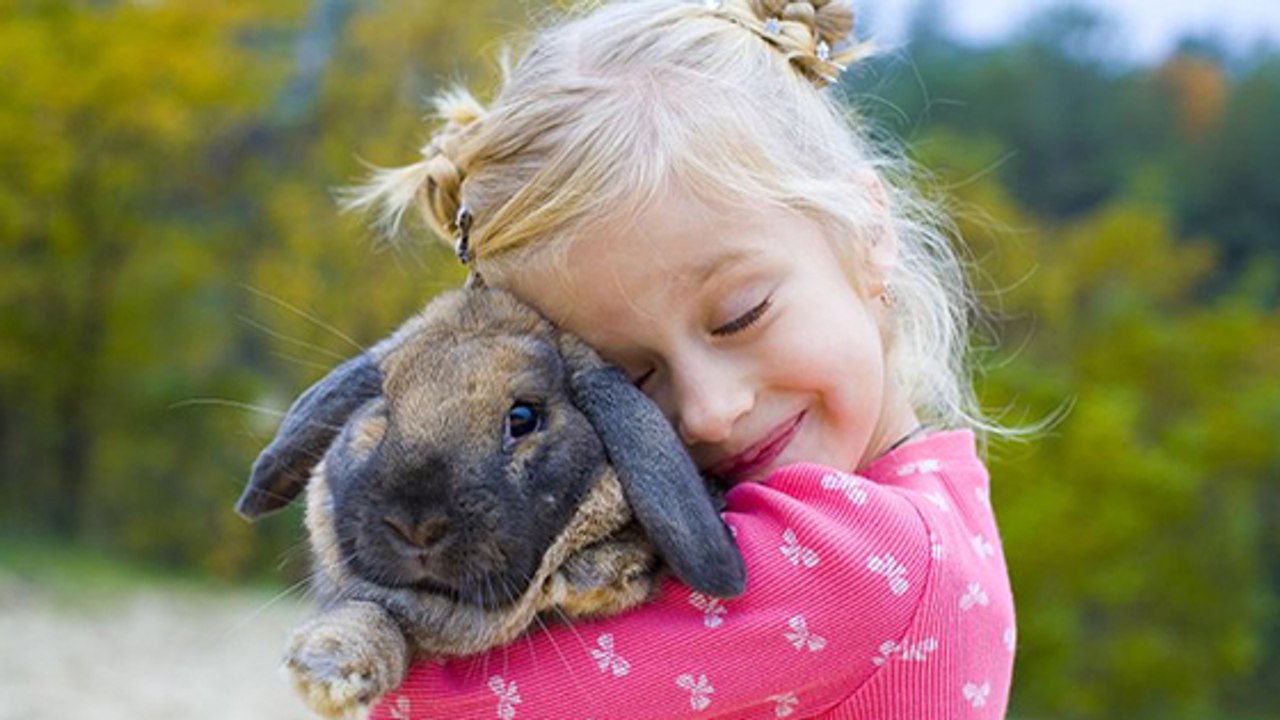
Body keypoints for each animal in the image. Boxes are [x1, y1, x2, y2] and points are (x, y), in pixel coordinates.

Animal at [236, 287, 745, 718]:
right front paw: (330, 668)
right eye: (383, 408)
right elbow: (373, 611)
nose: (415, 526)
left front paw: (599, 572)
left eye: (523, 417)